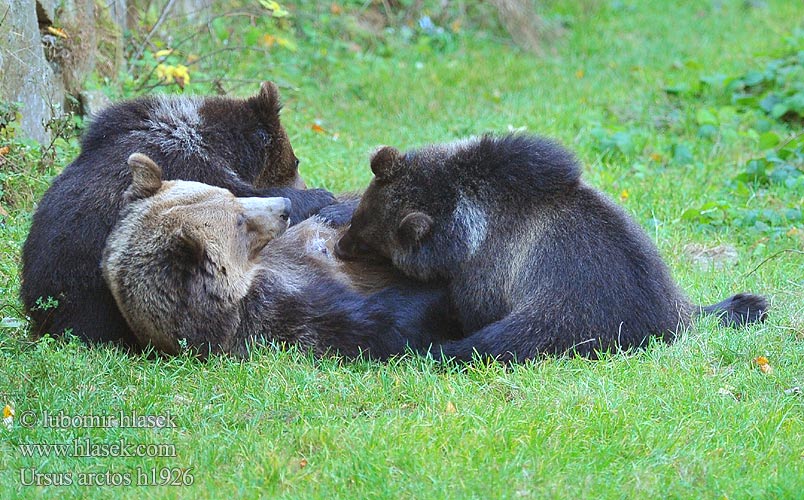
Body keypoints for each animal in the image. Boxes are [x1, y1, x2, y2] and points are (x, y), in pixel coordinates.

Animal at [336, 133, 768, 360]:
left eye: (369, 240)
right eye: (360, 216)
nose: (341, 245)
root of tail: (671, 319)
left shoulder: (493, 269)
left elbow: (475, 310)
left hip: (569, 308)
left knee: (502, 341)